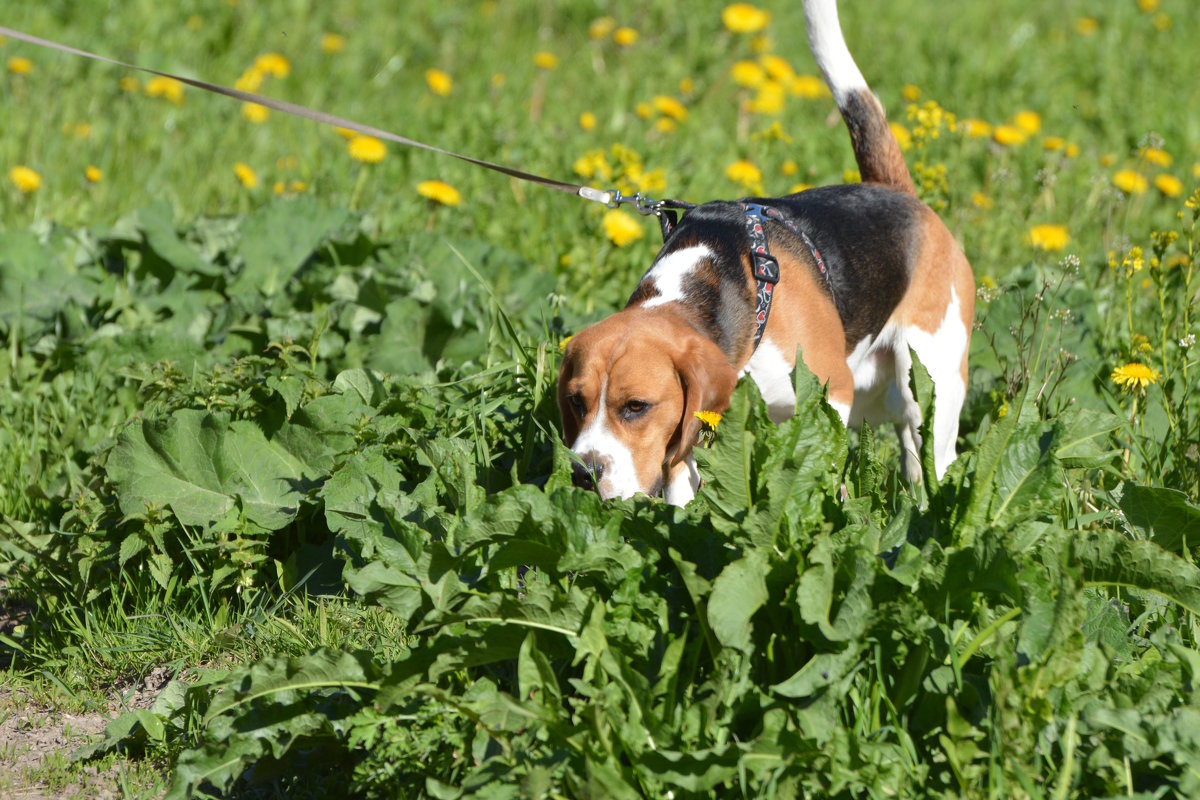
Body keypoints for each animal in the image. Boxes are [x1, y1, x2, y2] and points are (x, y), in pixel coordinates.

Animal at [559, 0, 974, 506]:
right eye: (576, 401)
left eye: (635, 406)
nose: (582, 472)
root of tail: (896, 193)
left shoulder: (830, 393)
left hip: (935, 376)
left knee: (930, 444)